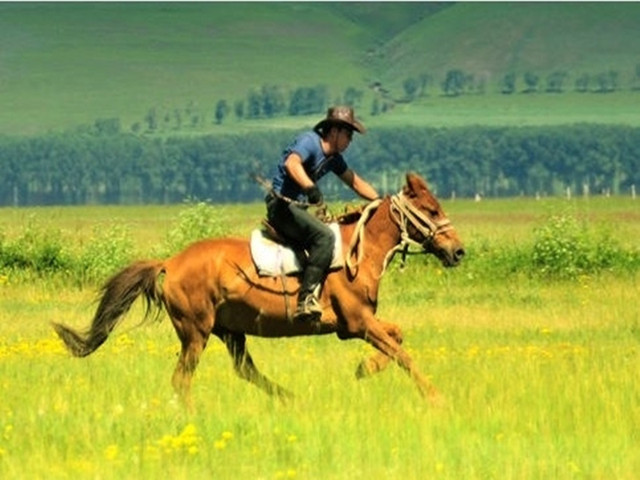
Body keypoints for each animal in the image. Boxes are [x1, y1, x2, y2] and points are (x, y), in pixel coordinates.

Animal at [53, 172, 464, 404]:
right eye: (431, 210)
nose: (458, 251)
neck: (359, 252)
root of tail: (169, 263)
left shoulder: (356, 326)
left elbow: (398, 337)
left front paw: (366, 367)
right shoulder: (358, 324)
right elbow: (402, 353)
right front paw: (434, 397)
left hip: (230, 331)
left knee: (243, 370)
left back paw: (288, 399)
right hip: (196, 332)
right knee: (182, 378)